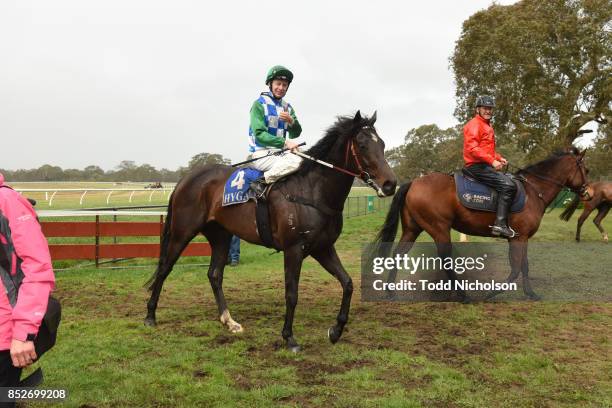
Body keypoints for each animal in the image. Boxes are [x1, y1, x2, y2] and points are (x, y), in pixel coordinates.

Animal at [146, 111, 400, 350]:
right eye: (363, 145)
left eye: (382, 144)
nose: (390, 184)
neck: (312, 191)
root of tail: (185, 179)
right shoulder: (294, 249)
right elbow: (292, 293)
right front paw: (289, 338)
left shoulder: (323, 248)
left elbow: (347, 283)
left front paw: (336, 330)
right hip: (182, 232)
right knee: (164, 268)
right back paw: (150, 316)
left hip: (221, 236)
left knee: (214, 274)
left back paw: (229, 321)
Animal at [376, 147, 592, 300]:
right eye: (587, 170)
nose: (588, 194)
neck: (533, 191)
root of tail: (414, 182)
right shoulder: (519, 238)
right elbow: (515, 269)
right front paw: (492, 293)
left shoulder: (521, 238)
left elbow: (524, 266)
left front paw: (531, 294)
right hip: (439, 229)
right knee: (445, 259)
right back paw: (462, 294)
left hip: (413, 229)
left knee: (398, 254)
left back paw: (390, 291)